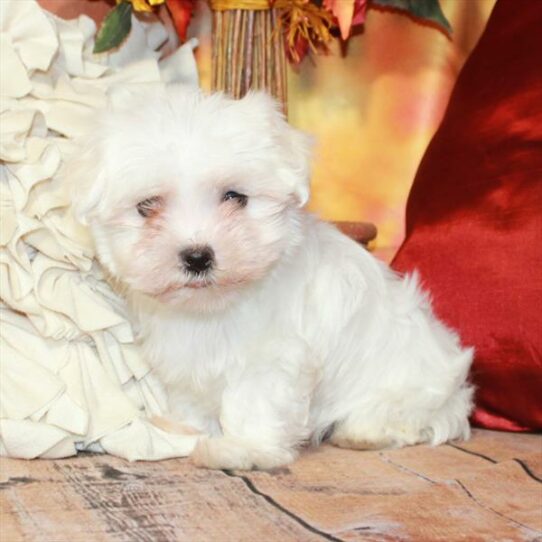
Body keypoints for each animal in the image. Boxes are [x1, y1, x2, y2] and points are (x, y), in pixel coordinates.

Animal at [69, 85, 476, 472]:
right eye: (148, 206)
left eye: (235, 197)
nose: (198, 256)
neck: (213, 308)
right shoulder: (185, 359)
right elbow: (190, 397)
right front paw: (186, 430)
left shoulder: (271, 358)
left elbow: (253, 402)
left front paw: (242, 449)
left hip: (411, 384)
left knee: (410, 417)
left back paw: (363, 431)